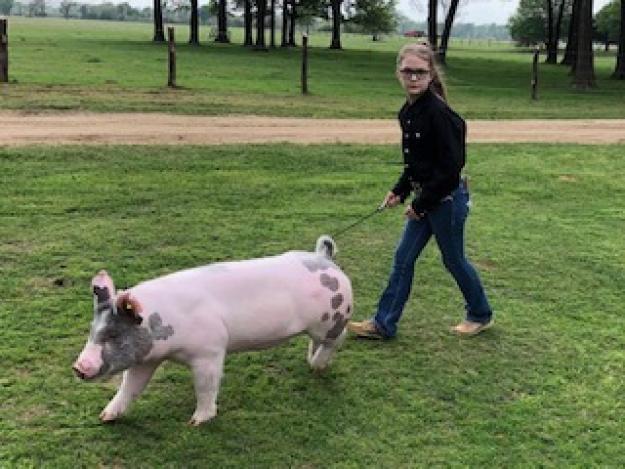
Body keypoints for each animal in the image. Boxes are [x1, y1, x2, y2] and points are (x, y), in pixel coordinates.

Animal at [73, 235, 353, 425]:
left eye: (113, 335)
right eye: (92, 330)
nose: (78, 367)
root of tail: (325, 258)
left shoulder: (209, 351)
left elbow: (206, 386)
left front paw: (196, 422)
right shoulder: (145, 359)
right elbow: (130, 387)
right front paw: (105, 417)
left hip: (332, 320)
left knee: (339, 338)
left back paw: (317, 366)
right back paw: (311, 362)